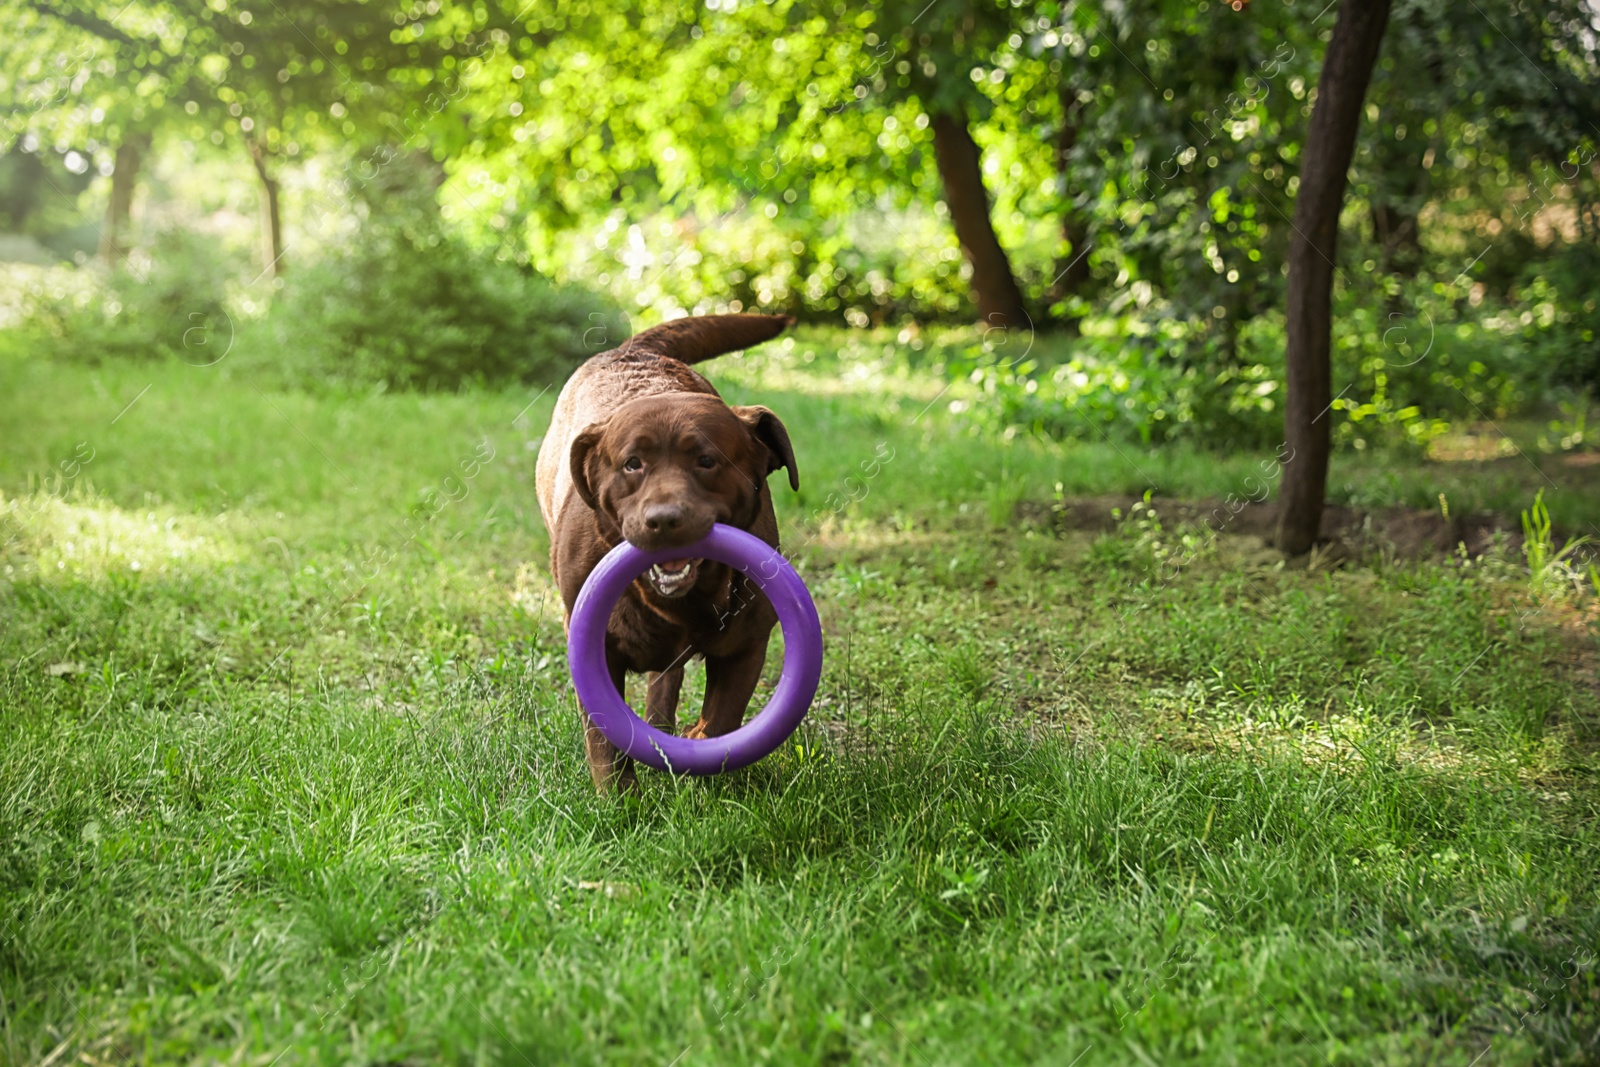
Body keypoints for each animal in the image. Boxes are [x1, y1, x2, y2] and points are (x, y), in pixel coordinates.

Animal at [537, 313, 800, 790]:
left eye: (707, 461)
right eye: (632, 464)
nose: (662, 520)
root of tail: (629, 349)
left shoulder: (747, 644)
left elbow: (723, 717)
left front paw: (701, 758)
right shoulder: (592, 650)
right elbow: (605, 742)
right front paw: (619, 802)